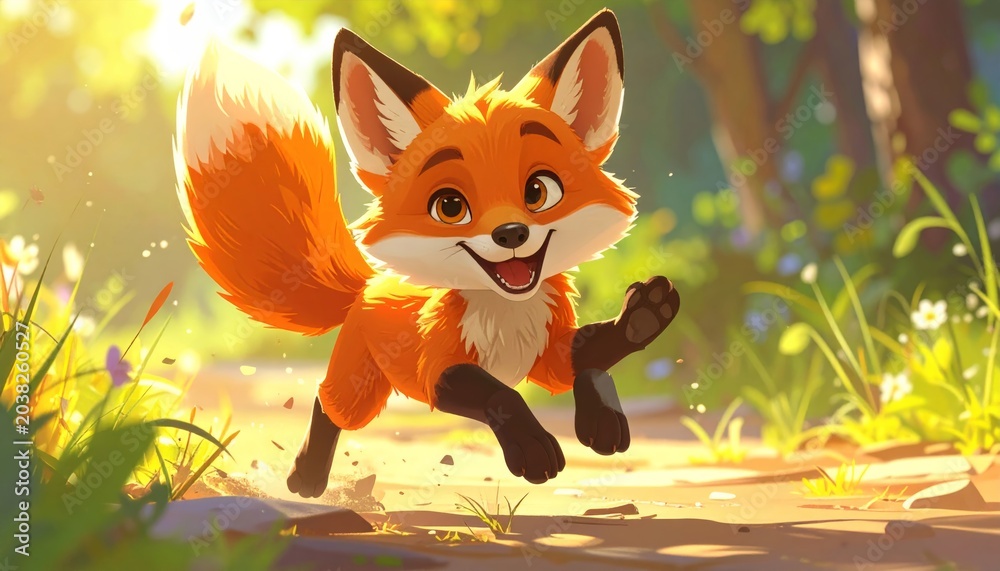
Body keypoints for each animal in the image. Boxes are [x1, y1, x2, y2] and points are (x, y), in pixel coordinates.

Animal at [174, 9, 680, 498]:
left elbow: (589, 356)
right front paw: (532, 447)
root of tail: (368, 283)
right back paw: (306, 478)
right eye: (450, 206)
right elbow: (502, 395)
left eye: (539, 191)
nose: (512, 233)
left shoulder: (548, 353)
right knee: (327, 403)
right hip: (361, 388)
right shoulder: (436, 367)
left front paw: (637, 329)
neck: (507, 316)